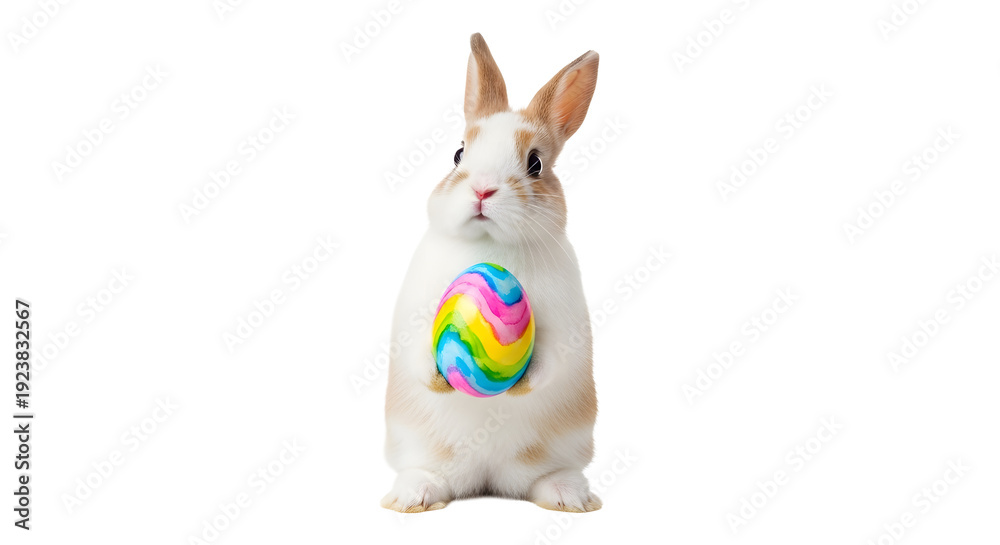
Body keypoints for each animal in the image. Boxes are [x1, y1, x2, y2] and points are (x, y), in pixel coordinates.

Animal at [382, 32, 601, 513]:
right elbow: (415, 347)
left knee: (546, 477)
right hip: (415, 444)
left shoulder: (565, 324)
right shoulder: (415, 310)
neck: (489, 248)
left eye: (535, 163)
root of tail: (487, 479)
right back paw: (413, 496)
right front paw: (438, 380)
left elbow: (551, 358)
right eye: (458, 153)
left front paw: (518, 389)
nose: (483, 189)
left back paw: (570, 497)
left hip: (568, 446)